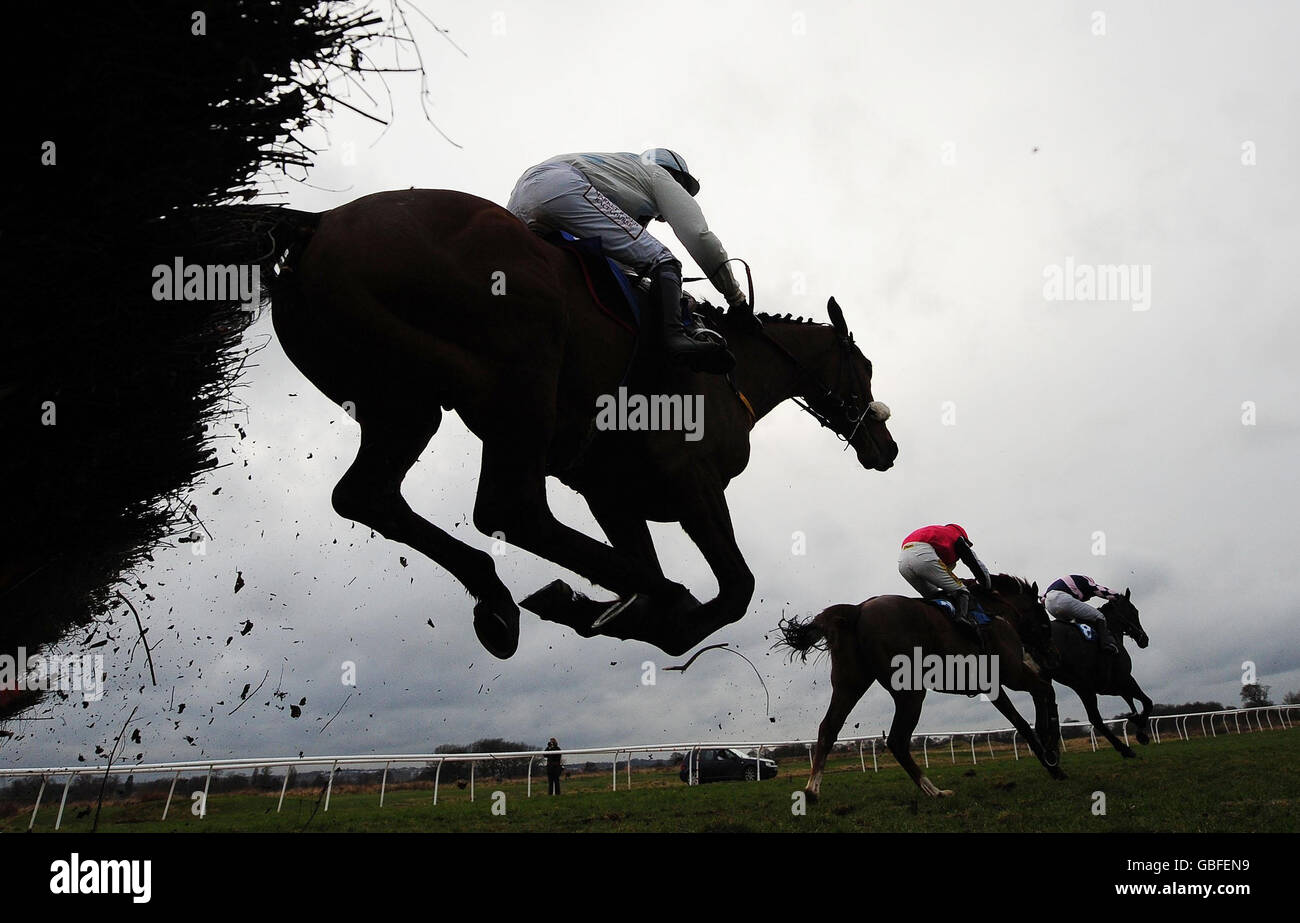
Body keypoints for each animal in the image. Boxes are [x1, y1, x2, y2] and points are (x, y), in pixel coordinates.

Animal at [257, 189, 899, 657]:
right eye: (865, 369)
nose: (886, 447)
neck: (734, 372)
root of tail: (318, 224)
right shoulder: (692, 483)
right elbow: (735, 589)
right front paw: (649, 608)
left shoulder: (612, 492)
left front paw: (612, 607)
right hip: (522, 381)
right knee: (510, 508)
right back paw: (640, 594)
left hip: (403, 406)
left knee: (366, 496)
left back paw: (498, 598)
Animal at [769, 577, 1066, 800]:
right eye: (1044, 621)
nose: (1053, 656)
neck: (997, 613)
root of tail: (857, 609)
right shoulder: (1012, 673)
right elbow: (1042, 695)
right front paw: (1052, 752)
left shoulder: (993, 686)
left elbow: (1021, 720)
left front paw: (1050, 758)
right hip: (910, 690)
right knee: (897, 740)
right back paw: (935, 791)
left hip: (850, 684)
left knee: (829, 727)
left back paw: (812, 790)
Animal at [1045, 592, 1159, 759]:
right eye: (1134, 611)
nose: (1144, 639)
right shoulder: (1125, 678)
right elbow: (1147, 702)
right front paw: (1141, 733)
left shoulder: (1113, 687)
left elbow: (1131, 702)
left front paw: (1135, 718)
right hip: (1083, 685)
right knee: (1095, 719)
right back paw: (1125, 749)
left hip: (1078, 686)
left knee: (1093, 719)